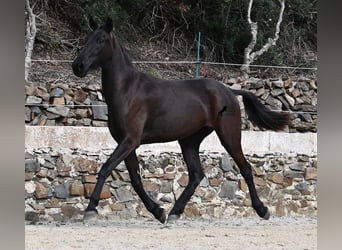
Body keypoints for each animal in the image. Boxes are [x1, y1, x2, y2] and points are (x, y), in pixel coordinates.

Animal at [72, 17, 292, 224]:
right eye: (87, 38)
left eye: (101, 39)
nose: (78, 66)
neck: (127, 91)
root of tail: (229, 91)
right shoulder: (126, 143)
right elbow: (135, 179)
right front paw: (158, 211)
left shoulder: (130, 140)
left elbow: (105, 168)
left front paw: (90, 210)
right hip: (189, 141)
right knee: (196, 175)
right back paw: (174, 212)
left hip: (229, 136)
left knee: (245, 169)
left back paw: (262, 210)